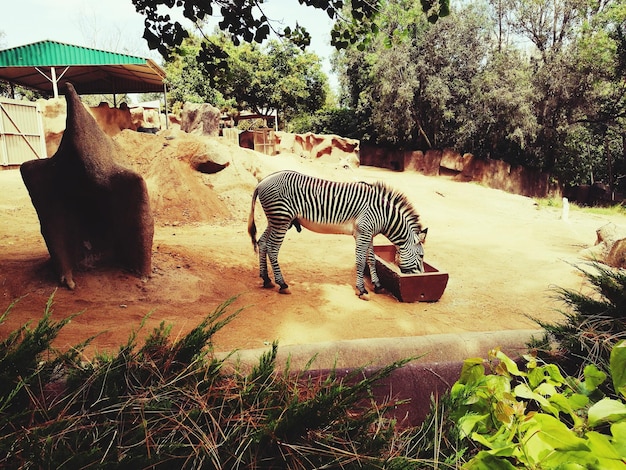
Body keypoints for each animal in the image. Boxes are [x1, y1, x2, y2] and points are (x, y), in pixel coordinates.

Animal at [246, 170, 426, 298]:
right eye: (422, 256)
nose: (422, 277)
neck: (384, 214)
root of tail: (262, 182)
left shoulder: (369, 234)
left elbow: (371, 260)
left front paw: (377, 285)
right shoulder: (362, 233)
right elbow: (361, 261)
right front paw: (361, 289)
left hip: (277, 220)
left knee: (262, 242)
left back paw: (266, 279)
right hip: (281, 219)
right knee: (272, 248)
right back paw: (282, 284)